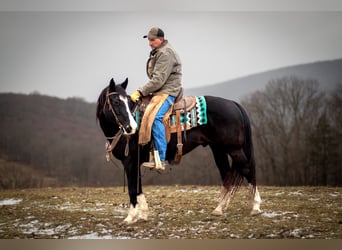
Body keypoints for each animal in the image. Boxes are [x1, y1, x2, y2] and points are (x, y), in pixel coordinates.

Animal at [96, 77, 262, 223]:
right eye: (116, 101)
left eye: (128, 102)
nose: (132, 127)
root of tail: (233, 104)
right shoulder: (135, 163)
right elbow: (138, 187)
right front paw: (143, 214)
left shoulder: (130, 161)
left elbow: (132, 188)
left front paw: (130, 217)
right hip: (218, 149)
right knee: (227, 174)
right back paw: (219, 208)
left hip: (234, 149)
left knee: (247, 169)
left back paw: (256, 207)